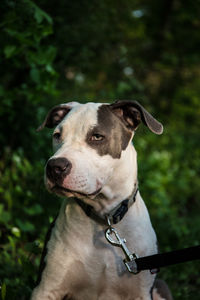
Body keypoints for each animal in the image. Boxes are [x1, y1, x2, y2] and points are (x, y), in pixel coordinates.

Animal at [30, 101, 172, 300]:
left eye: (97, 136)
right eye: (57, 135)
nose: (55, 166)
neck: (104, 217)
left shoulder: (142, 293)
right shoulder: (46, 289)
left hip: (161, 286)